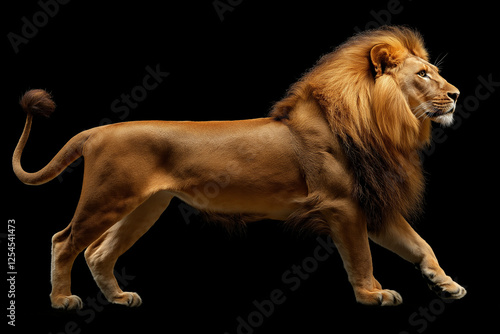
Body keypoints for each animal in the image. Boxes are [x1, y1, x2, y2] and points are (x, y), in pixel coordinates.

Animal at [11, 26, 464, 310]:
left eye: (436, 73)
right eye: (424, 75)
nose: (458, 94)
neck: (383, 125)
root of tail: (97, 131)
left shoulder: (372, 206)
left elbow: (422, 245)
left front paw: (447, 283)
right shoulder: (344, 206)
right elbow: (361, 257)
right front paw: (373, 295)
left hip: (145, 207)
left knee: (98, 251)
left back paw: (120, 298)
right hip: (108, 198)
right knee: (64, 241)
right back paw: (61, 300)